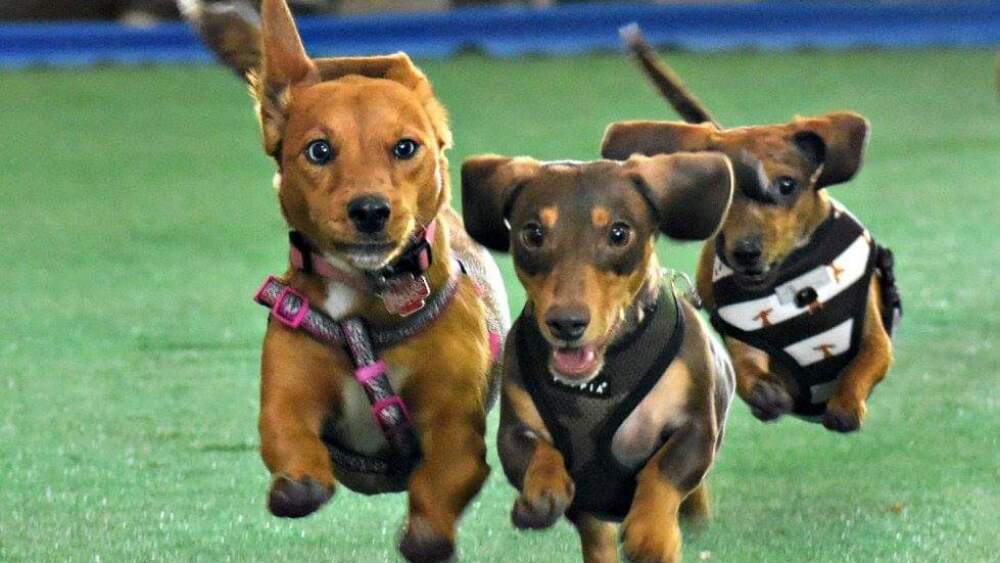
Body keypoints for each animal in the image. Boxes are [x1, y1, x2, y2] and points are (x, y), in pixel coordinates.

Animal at [181, 2, 508, 560]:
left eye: (406, 147)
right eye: (318, 151)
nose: (370, 210)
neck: (365, 306)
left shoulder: (457, 431)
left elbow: (439, 479)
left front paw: (425, 534)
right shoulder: (286, 403)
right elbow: (292, 444)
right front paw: (298, 487)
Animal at [460, 153, 736, 563]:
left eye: (619, 234)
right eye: (533, 234)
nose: (566, 323)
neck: (599, 379)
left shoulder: (696, 429)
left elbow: (663, 471)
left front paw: (652, 534)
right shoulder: (513, 431)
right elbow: (536, 456)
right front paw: (540, 496)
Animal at [596, 27, 904, 432]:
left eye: (787, 186)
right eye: (721, 191)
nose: (744, 253)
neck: (794, 286)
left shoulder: (873, 336)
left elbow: (869, 359)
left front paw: (846, 403)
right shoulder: (741, 337)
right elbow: (745, 368)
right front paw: (764, 393)